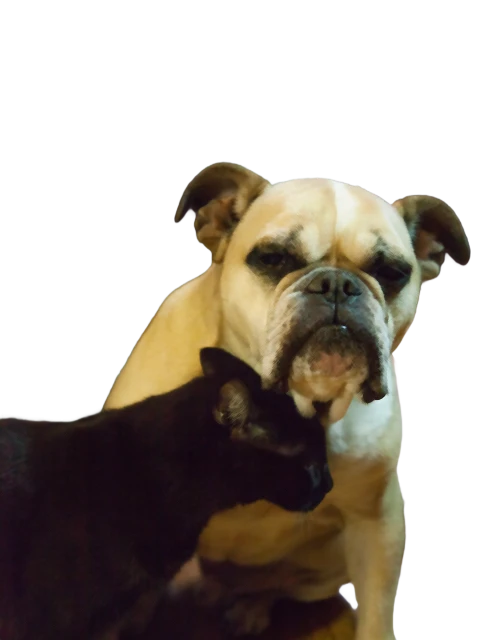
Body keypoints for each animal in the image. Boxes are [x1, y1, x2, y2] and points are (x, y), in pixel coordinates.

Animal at [104, 163, 471, 639]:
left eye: (391, 272)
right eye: (274, 258)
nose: (337, 283)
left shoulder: (377, 525)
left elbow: (375, 616)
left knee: (278, 586)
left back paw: (251, 608)